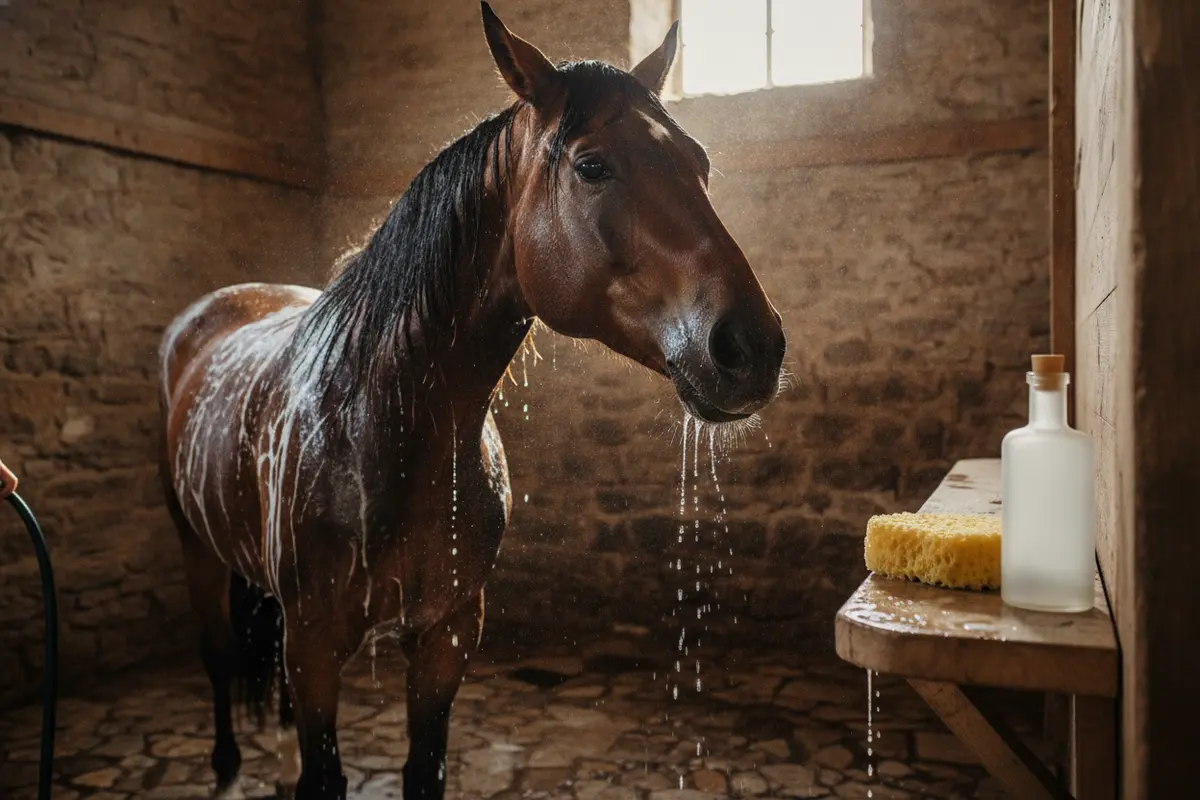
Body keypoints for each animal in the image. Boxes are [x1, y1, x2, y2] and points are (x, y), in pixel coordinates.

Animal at [158, 4, 786, 798]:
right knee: (217, 658)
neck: (381, 424)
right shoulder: (315, 643)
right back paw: (226, 766)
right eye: (591, 165)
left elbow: (422, 768)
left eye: (700, 164)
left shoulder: (447, 633)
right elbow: (323, 771)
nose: (752, 346)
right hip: (197, 551)